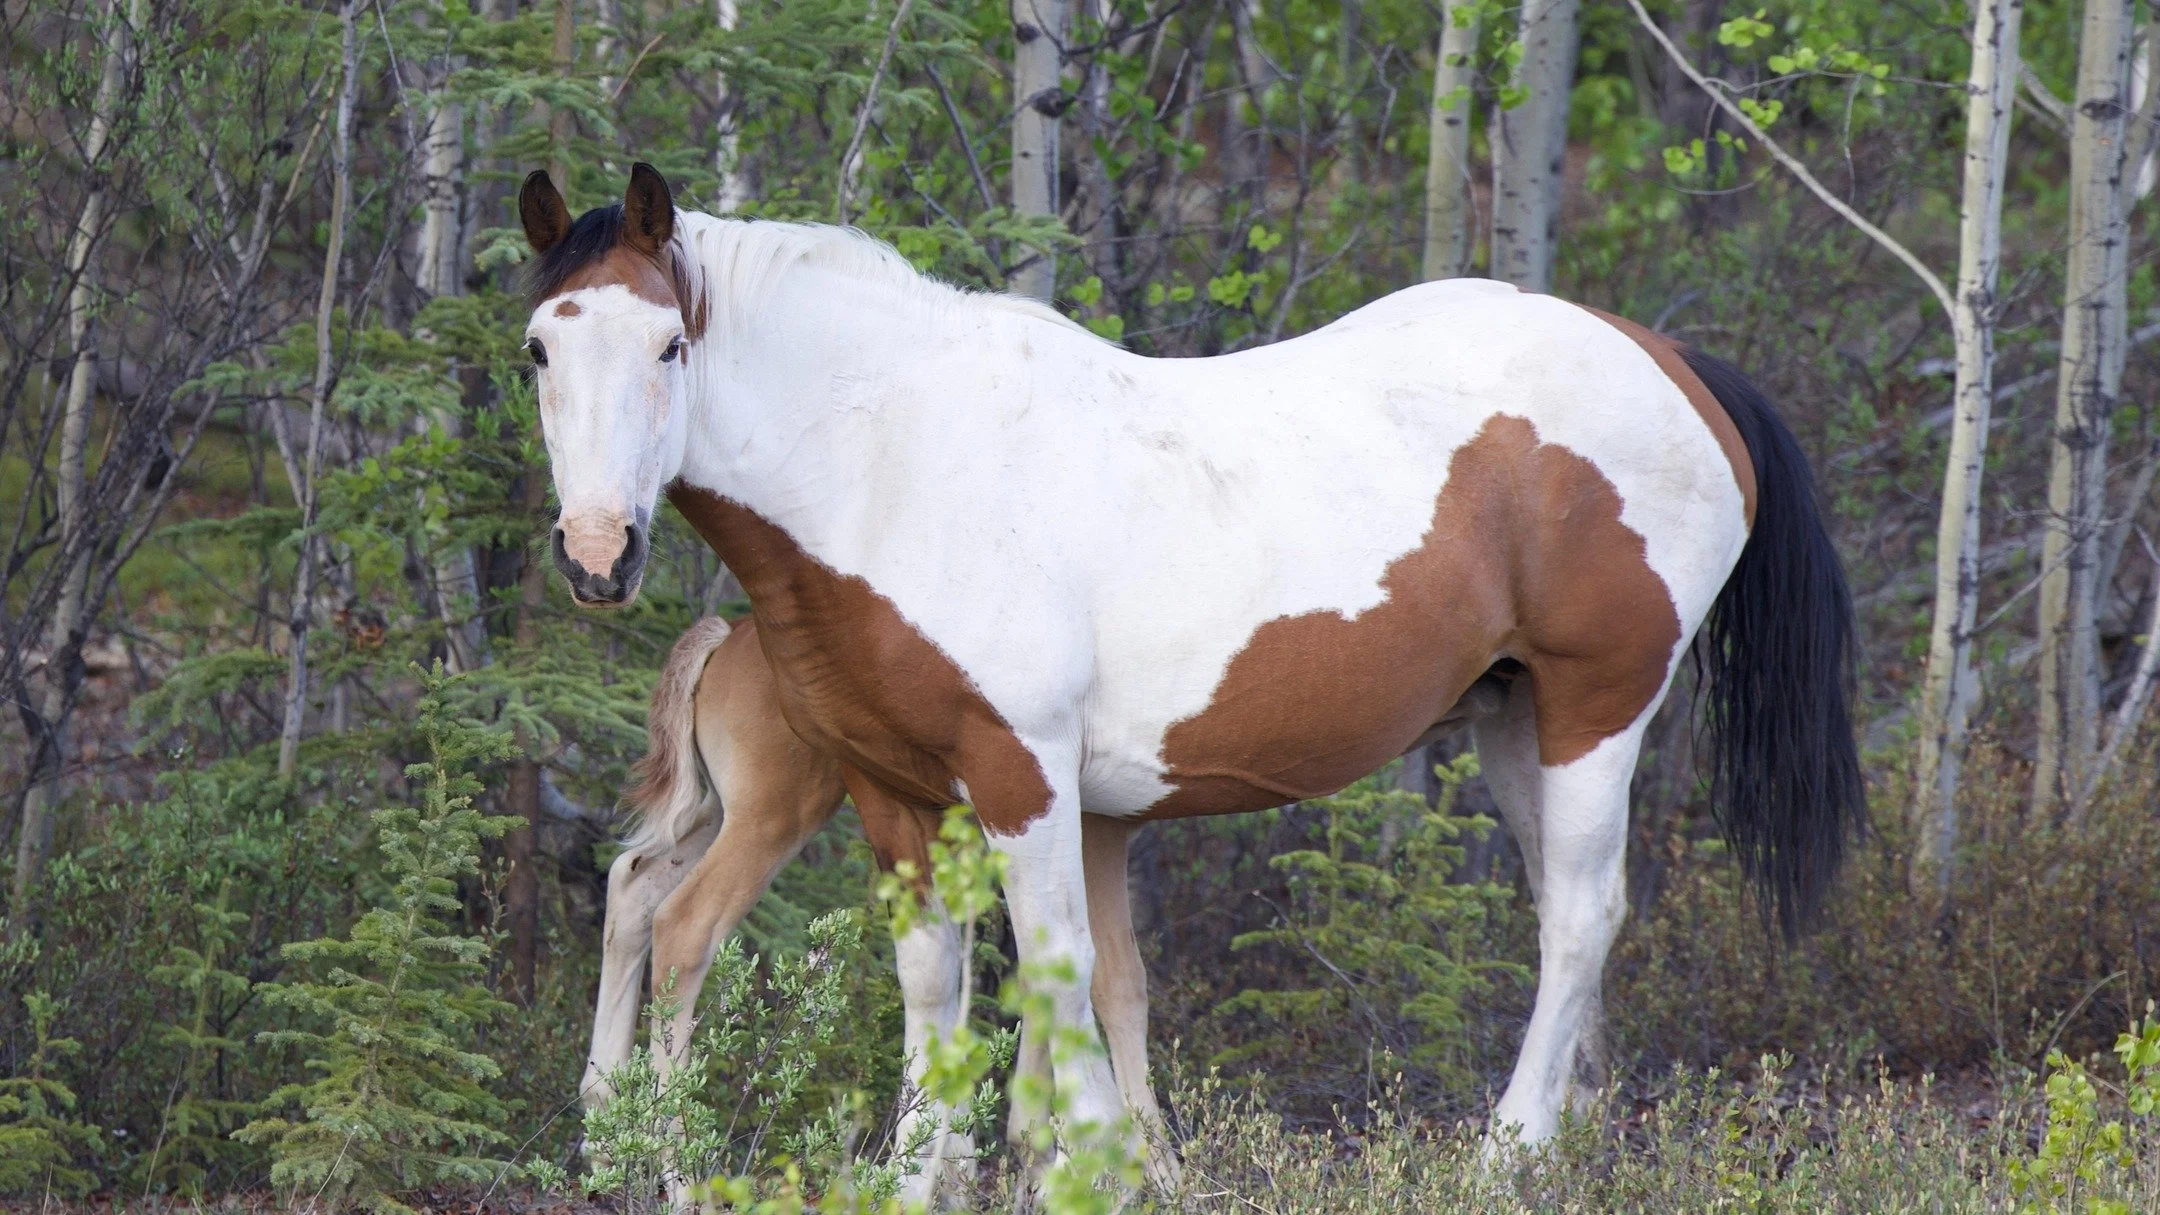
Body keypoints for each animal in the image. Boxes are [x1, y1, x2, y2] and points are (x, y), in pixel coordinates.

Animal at [585, 614, 1166, 1195]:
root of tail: (728, 638)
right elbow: (1100, 978)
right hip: (772, 814)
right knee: (684, 923)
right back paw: (678, 1169)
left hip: (719, 811)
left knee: (632, 886)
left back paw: (604, 1128)